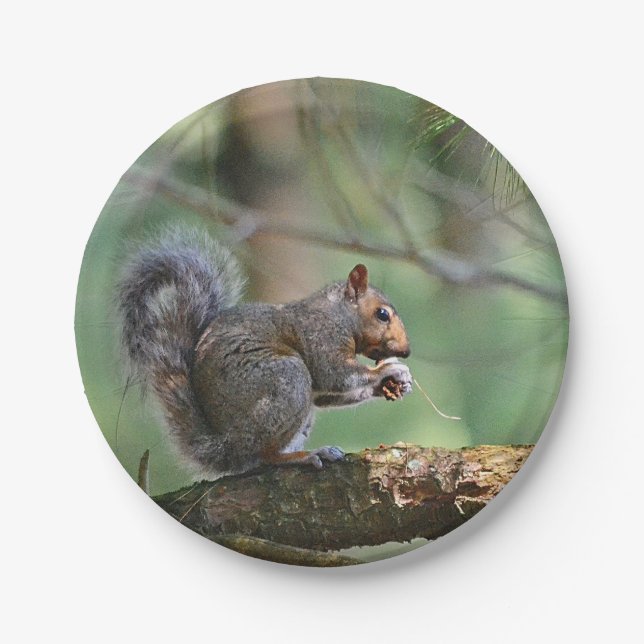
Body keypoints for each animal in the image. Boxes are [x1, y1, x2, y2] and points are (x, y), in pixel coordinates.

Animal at [118, 228, 412, 477]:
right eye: (382, 314)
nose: (407, 351)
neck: (338, 314)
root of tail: (228, 445)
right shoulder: (320, 338)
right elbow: (336, 374)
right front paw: (389, 369)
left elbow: (328, 395)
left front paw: (396, 382)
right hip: (286, 380)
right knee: (264, 456)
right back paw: (304, 456)